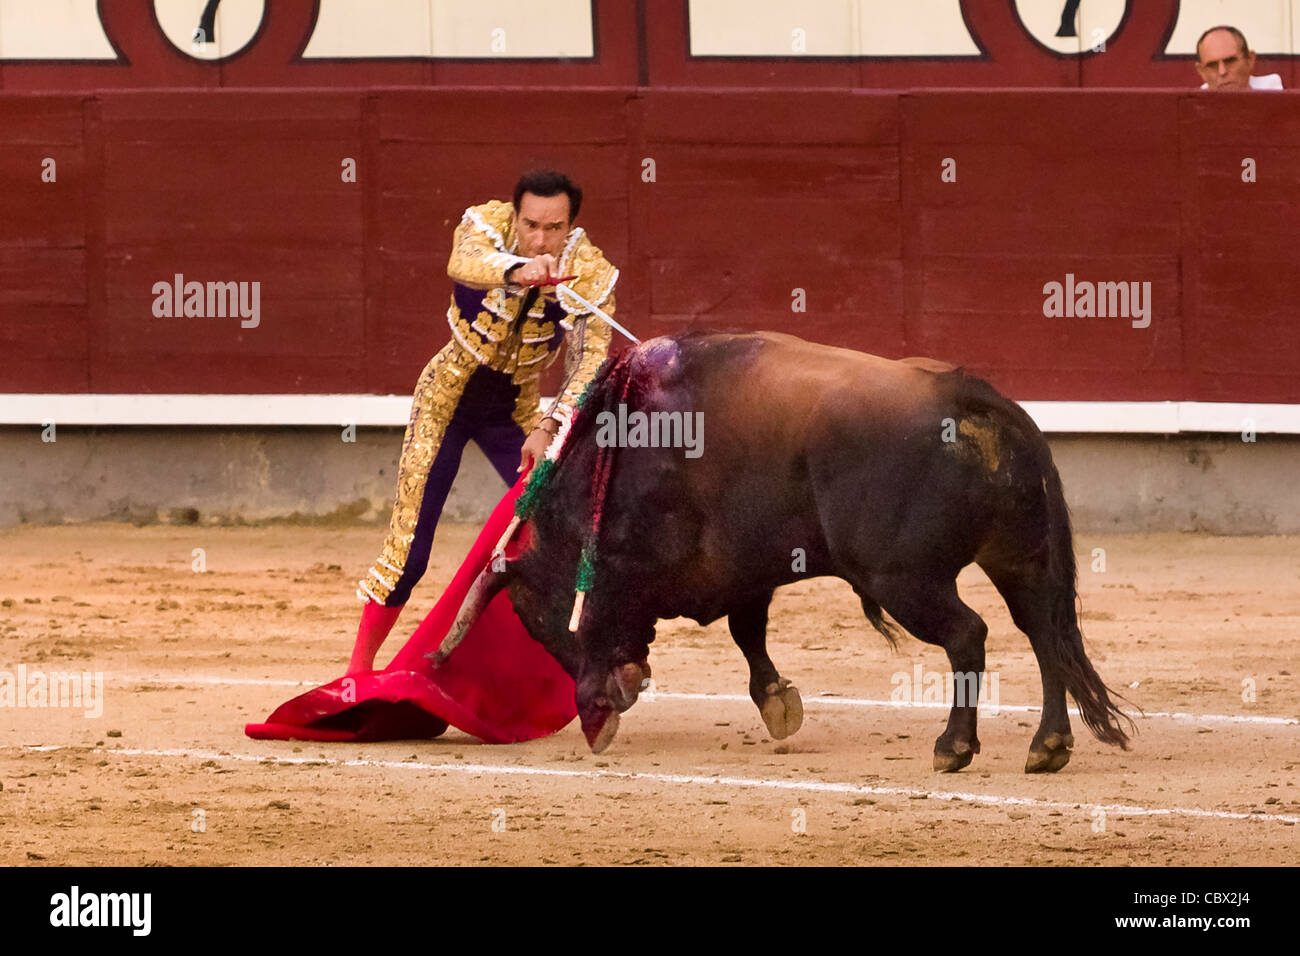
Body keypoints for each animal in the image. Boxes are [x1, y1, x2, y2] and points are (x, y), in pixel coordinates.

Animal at [441, 332, 1133, 775]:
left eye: (541, 621)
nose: (605, 702)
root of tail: (969, 397)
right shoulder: (750, 569)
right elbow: (749, 632)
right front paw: (779, 705)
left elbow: (724, 627)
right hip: (1018, 559)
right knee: (1044, 632)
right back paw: (1048, 746)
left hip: (904, 577)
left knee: (970, 635)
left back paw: (953, 747)